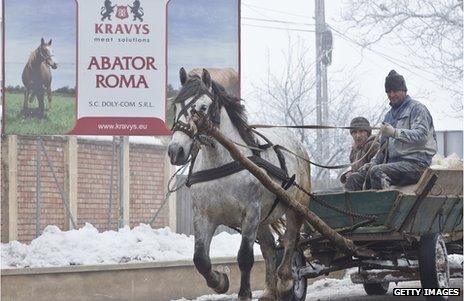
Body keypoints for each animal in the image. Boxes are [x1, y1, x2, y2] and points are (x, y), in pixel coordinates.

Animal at [169, 68, 310, 300]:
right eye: (176, 106)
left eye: (203, 107)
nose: (175, 151)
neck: (223, 162)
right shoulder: (203, 216)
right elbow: (200, 259)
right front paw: (219, 282)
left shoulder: (250, 212)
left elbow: (244, 257)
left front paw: (244, 293)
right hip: (263, 218)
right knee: (269, 248)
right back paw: (270, 290)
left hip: (296, 206)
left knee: (291, 240)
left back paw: (286, 281)